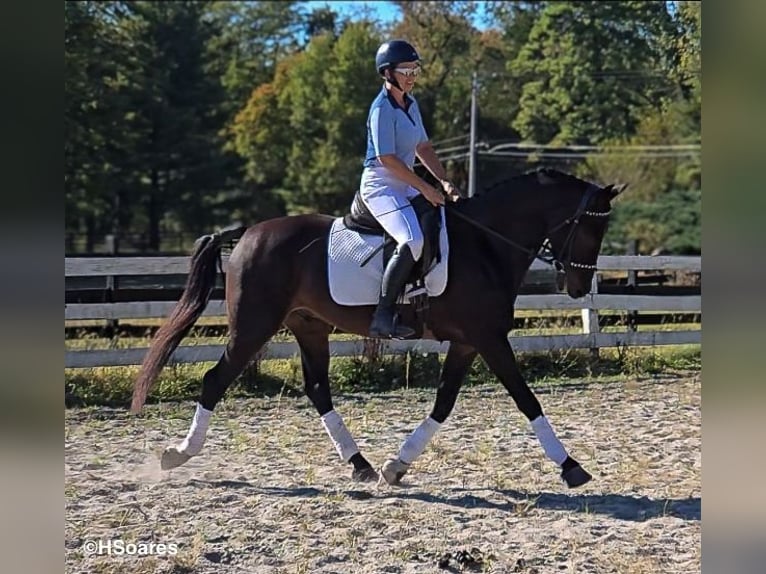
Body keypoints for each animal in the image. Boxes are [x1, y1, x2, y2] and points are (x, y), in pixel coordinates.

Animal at [131, 168, 626, 488]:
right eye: (590, 230)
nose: (578, 287)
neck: (485, 243)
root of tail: (248, 233)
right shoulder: (489, 339)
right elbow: (527, 400)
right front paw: (571, 467)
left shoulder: (468, 343)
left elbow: (443, 405)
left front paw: (396, 466)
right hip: (253, 326)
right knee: (215, 380)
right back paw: (177, 455)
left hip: (309, 327)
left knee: (317, 390)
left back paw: (361, 465)